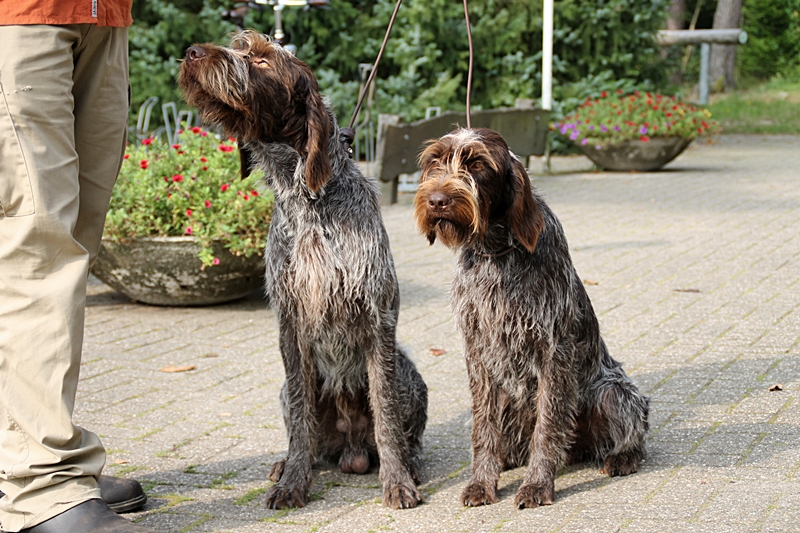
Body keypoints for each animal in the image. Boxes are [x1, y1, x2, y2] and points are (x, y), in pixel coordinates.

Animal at [178, 31, 428, 510]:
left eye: (261, 59)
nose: (192, 52)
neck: (307, 198)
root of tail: (351, 451)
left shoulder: (378, 317)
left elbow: (386, 413)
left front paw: (397, 480)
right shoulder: (289, 322)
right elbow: (299, 414)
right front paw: (293, 480)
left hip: (410, 375)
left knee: (405, 430)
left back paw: (412, 464)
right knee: (306, 431)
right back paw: (292, 462)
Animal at [416, 128, 648, 508]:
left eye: (477, 164)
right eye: (435, 161)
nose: (436, 201)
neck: (495, 252)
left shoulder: (553, 350)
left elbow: (548, 427)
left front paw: (538, 485)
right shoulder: (478, 353)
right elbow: (484, 429)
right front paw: (482, 481)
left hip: (612, 391)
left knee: (630, 430)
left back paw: (622, 457)